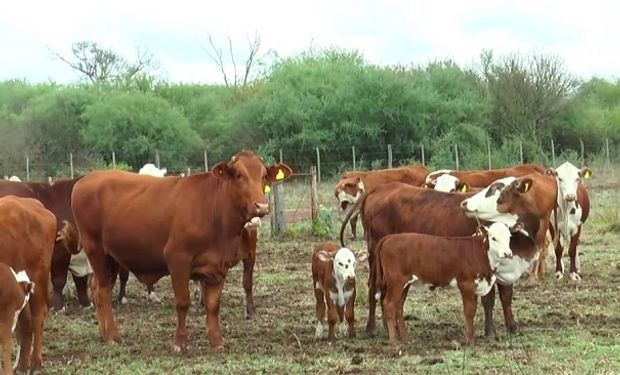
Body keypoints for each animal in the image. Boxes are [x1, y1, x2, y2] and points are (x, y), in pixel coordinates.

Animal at [71, 151, 294, 352]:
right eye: (239, 175)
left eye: (264, 175)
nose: (261, 206)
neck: (214, 211)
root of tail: (86, 180)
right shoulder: (177, 259)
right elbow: (182, 302)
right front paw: (180, 343)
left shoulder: (218, 266)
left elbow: (213, 305)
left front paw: (217, 341)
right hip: (96, 250)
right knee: (103, 291)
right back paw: (112, 336)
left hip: (112, 257)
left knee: (96, 288)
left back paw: (103, 333)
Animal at [372, 222, 512, 348]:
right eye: (493, 238)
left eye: (509, 237)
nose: (507, 253)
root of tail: (389, 238)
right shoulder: (466, 284)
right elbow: (469, 311)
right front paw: (470, 340)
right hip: (396, 281)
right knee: (389, 304)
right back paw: (394, 341)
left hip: (404, 284)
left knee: (399, 306)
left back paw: (406, 337)